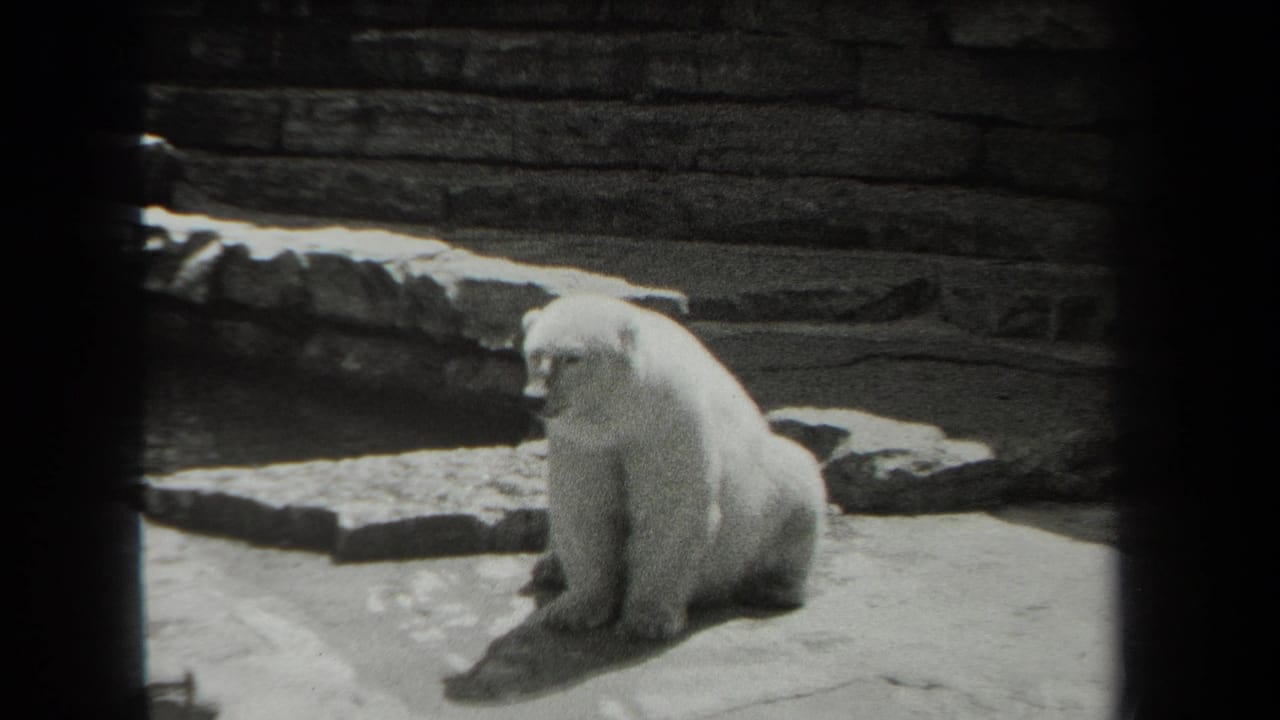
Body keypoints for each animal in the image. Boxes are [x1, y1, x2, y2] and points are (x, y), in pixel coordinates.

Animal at [519, 294, 827, 640]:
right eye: (534, 353)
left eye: (573, 358)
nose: (534, 398)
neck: (625, 413)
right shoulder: (584, 443)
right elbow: (585, 510)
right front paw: (572, 610)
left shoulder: (668, 425)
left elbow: (669, 510)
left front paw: (646, 620)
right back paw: (549, 567)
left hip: (767, 497)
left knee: (798, 487)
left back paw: (773, 588)